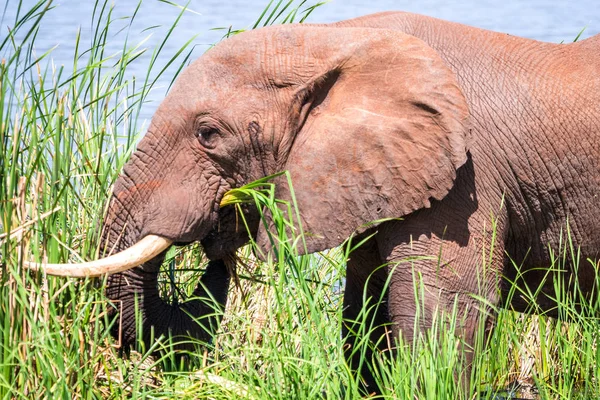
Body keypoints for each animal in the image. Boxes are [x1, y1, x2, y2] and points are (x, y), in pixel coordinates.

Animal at [29, 10, 600, 392]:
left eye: (208, 134)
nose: (221, 232)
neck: (334, 38)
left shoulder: (465, 181)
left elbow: (441, 321)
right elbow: (365, 316)